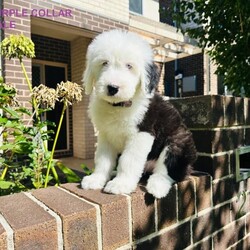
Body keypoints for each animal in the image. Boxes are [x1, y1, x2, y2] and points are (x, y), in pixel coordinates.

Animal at [81, 29, 196, 198]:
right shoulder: (105, 135)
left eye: (129, 66)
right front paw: (96, 179)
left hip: (177, 141)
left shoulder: (142, 133)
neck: (119, 106)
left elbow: (129, 160)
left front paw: (120, 184)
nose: (112, 87)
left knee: (169, 170)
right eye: (104, 63)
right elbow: (103, 159)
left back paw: (157, 186)